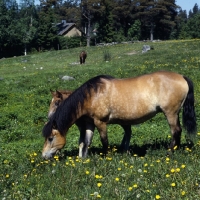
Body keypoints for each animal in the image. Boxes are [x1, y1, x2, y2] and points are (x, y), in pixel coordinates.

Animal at [41, 71, 196, 159]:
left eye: (50, 138)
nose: (43, 156)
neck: (91, 96)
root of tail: (182, 77)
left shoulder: (100, 122)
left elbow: (104, 141)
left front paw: (107, 157)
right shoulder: (90, 123)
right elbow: (85, 142)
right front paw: (83, 159)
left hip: (170, 113)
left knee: (175, 131)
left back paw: (170, 152)